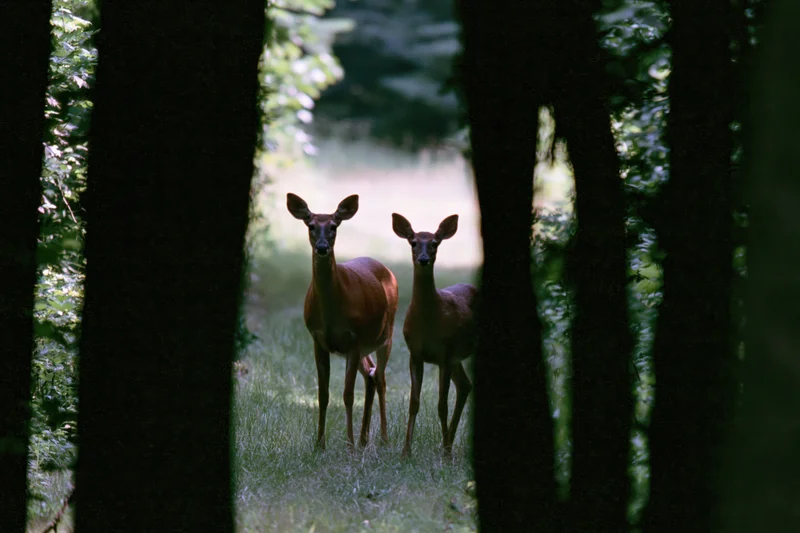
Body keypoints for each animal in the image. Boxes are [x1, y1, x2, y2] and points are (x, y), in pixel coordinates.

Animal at [287, 193, 399, 451]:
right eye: (311, 225)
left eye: (334, 226)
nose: (322, 247)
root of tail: (387, 270)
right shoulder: (318, 340)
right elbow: (323, 395)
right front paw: (319, 444)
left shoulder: (354, 339)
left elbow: (347, 395)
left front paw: (348, 444)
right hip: (363, 347)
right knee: (371, 374)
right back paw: (364, 438)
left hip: (386, 335)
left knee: (381, 378)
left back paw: (382, 438)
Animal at [392, 213, 477, 458]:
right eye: (413, 242)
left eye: (435, 243)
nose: (423, 259)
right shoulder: (415, 353)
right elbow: (414, 402)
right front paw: (405, 451)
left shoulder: (444, 354)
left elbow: (441, 405)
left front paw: (446, 454)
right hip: (456, 357)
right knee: (465, 385)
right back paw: (448, 443)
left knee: (463, 387)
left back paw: (448, 446)